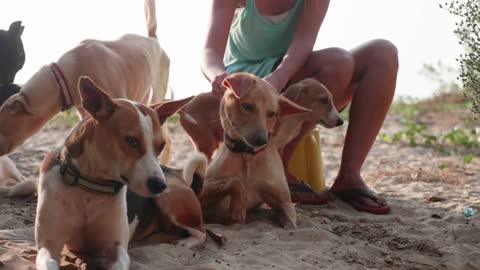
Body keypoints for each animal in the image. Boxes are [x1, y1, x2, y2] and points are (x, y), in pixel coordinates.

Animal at [34, 76, 191, 270]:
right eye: (131, 140)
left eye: (161, 146)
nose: (160, 185)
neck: (89, 187)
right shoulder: (49, 245)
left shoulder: (117, 249)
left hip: (172, 200)